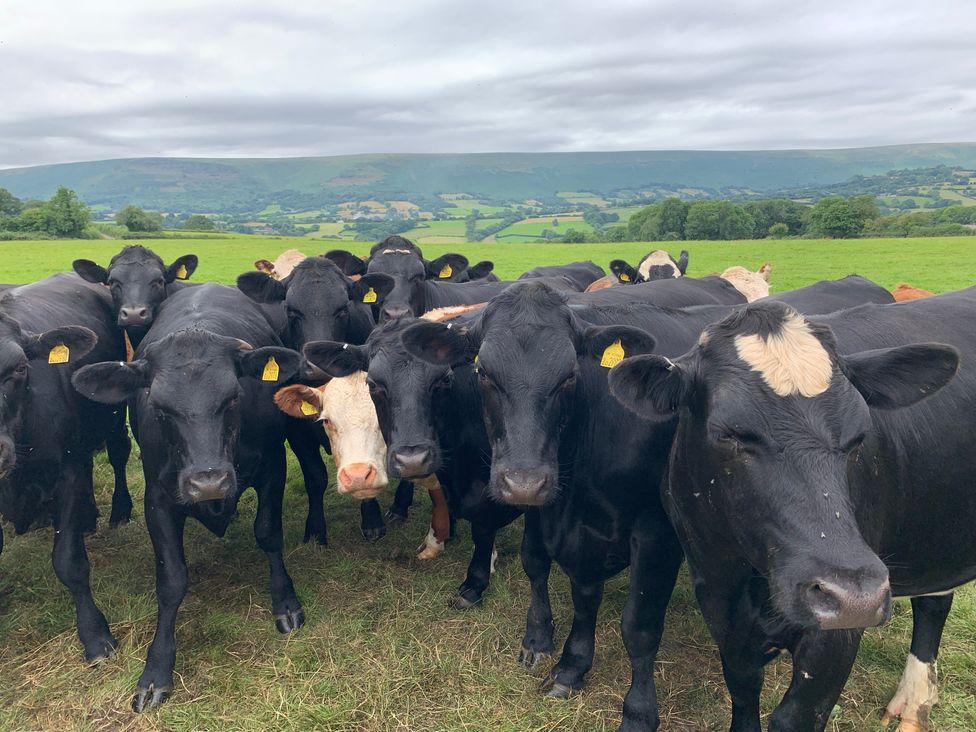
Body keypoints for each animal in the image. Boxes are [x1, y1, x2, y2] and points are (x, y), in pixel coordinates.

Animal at [73, 284, 304, 712]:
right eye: (159, 406)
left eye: (233, 397)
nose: (208, 482)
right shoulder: (158, 498)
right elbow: (171, 580)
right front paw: (156, 669)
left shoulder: (273, 466)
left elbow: (268, 533)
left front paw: (285, 602)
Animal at [234, 254, 406, 540]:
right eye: (291, 311)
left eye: (343, 309)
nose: (316, 367)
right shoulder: (297, 431)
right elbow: (315, 477)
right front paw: (315, 529)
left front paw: (371, 519)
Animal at [608, 294, 972, 732]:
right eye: (728, 433)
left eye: (859, 436)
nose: (855, 595)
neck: (747, 579)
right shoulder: (719, 601)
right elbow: (743, 693)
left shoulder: (834, 640)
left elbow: (793, 717)